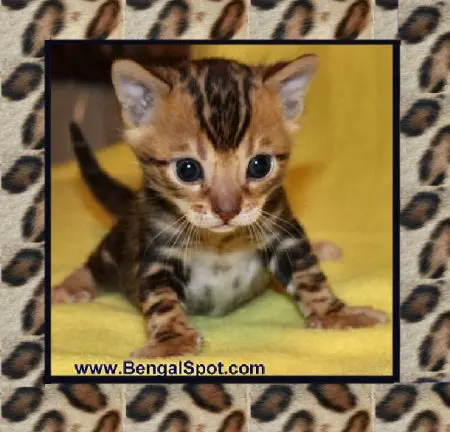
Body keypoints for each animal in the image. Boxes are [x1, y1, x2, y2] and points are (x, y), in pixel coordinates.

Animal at [52, 54, 388, 358]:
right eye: (187, 169)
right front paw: (171, 341)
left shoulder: (283, 229)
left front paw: (336, 314)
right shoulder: (159, 251)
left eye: (259, 165)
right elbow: (161, 298)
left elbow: (309, 275)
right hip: (119, 242)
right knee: (97, 261)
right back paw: (71, 286)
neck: (220, 241)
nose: (227, 210)